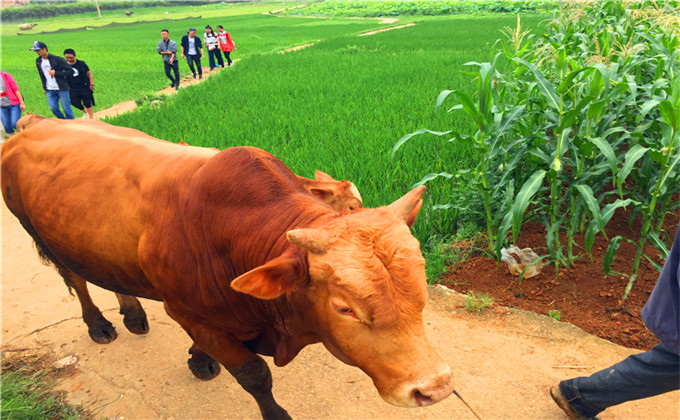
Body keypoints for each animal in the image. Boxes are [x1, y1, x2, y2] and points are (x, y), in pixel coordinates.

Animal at [2, 116, 454, 418]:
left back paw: (132, 312)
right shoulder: (187, 312)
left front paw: (197, 358)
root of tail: (32, 123)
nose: (435, 387)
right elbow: (255, 376)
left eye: (420, 289)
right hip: (40, 233)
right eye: (344, 308)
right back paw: (99, 324)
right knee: (76, 278)